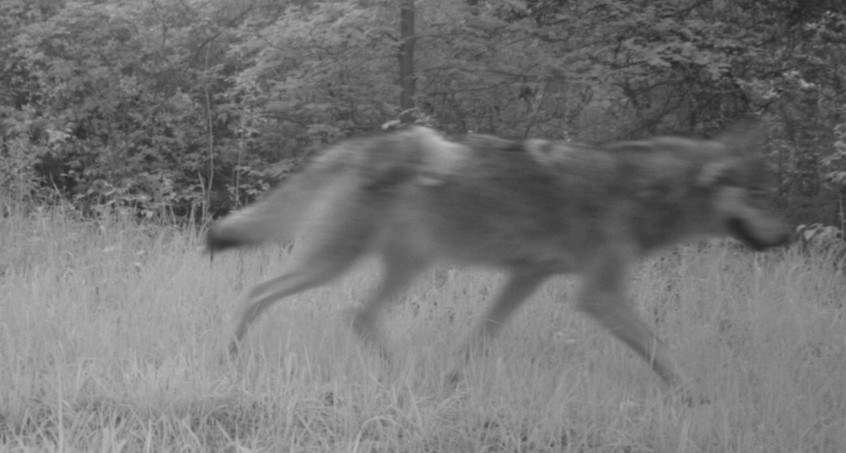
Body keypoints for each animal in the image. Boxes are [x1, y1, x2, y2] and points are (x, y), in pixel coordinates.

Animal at [209, 123, 792, 388]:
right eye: (758, 195)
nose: (786, 236)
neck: (641, 193)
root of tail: (364, 145)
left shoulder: (526, 276)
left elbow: (479, 337)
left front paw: (450, 383)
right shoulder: (597, 294)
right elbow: (659, 347)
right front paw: (693, 396)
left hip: (399, 266)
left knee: (357, 315)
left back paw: (402, 376)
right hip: (337, 264)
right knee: (259, 292)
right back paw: (228, 359)